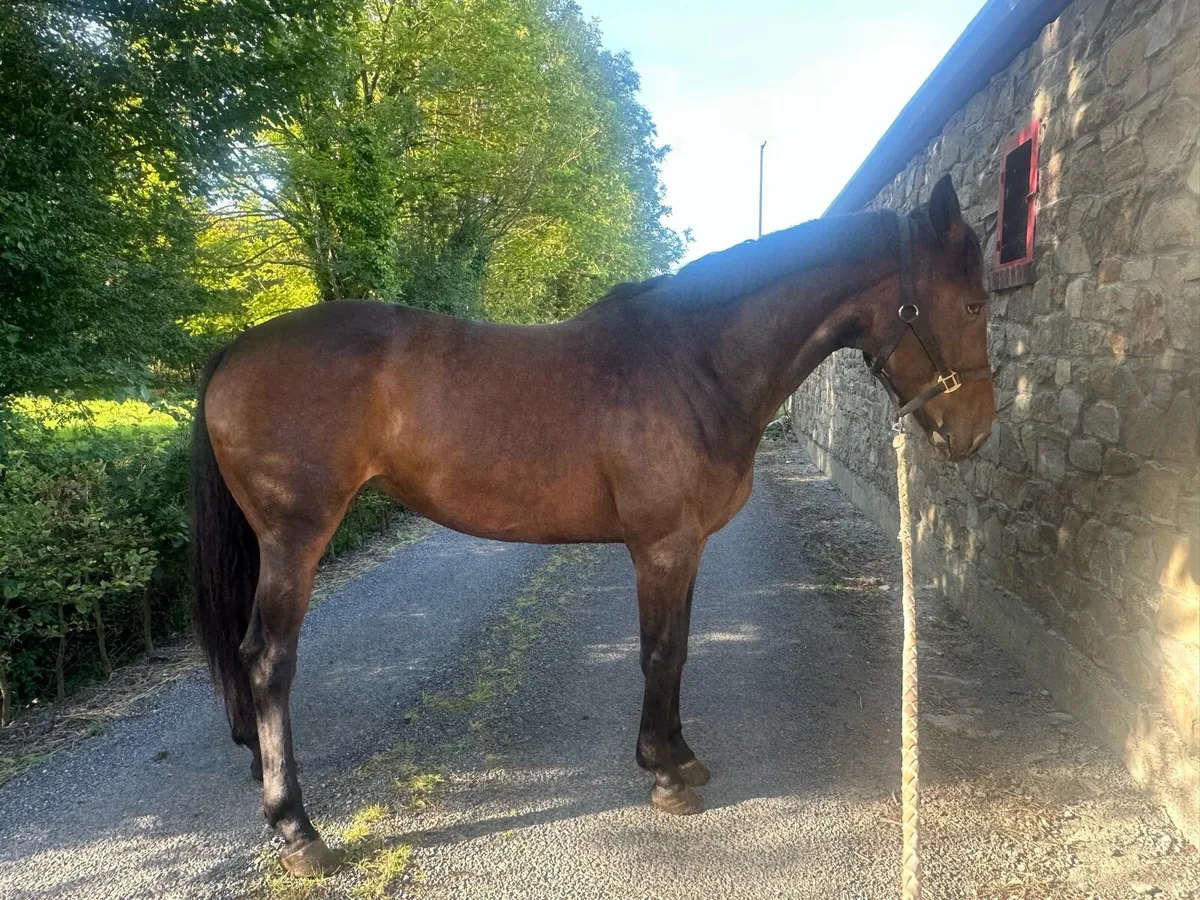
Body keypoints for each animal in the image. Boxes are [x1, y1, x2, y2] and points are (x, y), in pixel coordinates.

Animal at [190, 174, 994, 876]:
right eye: (973, 306)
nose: (976, 433)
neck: (693, 364)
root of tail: (237, 347)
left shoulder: (687, 548)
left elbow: (680, 649)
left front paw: (679, 755)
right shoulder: (660, 548)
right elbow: (659, 654)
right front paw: (665, 780)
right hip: (295, 539)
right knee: (269, 661)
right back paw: (298, 829)